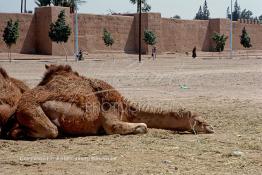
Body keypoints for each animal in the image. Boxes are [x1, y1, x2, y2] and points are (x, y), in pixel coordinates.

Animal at [11, 64, 214, 139]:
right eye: (199, 120)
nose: (211, 127)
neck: (126, 107)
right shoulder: (110, 114)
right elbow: (140, 126)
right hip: (31, 110)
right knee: (51, 130)